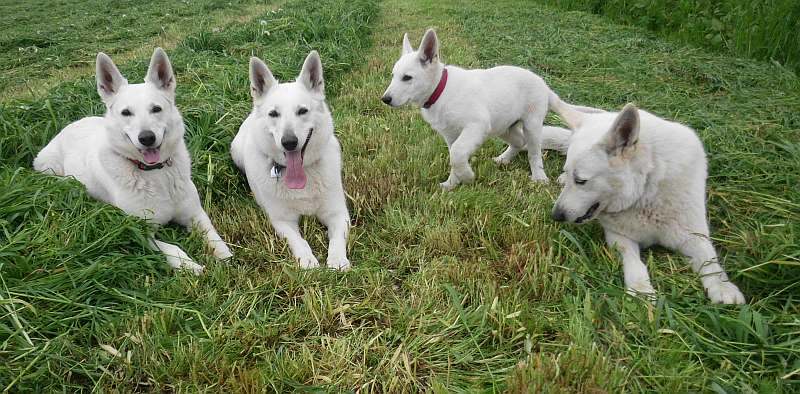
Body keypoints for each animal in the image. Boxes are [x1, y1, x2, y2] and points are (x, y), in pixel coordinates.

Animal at [35, 47, 234, 274]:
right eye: (126, 112)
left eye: (156, 109)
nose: (146, 138)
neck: (155, 173)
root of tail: (70, 125)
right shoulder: (139, 231)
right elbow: (171, 247)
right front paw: (189, 265)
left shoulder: (196, 214)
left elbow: (215, 238)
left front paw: (226, 257)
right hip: (49, 168)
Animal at [231, 50, 350, 270]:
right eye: (273, 113)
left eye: (302, 111)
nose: (289, 142)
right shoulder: (282, 222)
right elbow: (299, 241)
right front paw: (308, 260)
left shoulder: (338, 213)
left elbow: (337, 239)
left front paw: (337, 260)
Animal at [382, 28, 588, 190]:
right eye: (393, 75)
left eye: (407, 78)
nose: (385, 99)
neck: (440, 90)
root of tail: (544, 85)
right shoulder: (451, 135)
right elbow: (454, 155)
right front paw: (452, 183)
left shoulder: (476, 126)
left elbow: (456, 154)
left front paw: (466, 176)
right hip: (504, 126)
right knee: (519, 141)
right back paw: (504, 159)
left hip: (532, 124)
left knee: (533, 152)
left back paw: (539, 177)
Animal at [552, 102, 744, 304]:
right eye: (573, 177)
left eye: (581, 181)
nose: (555, 216)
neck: (645, 191)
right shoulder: (619, 236)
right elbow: (634, 262)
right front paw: (640, 289)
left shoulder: (693, 234)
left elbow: (709, 260)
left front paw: (722, 286)